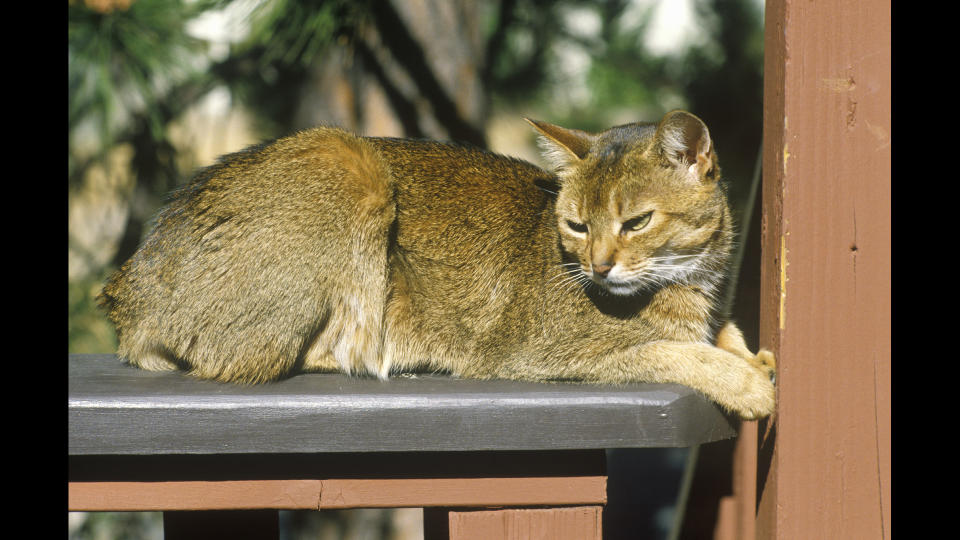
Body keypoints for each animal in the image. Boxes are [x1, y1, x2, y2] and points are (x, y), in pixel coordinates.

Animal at [97, 109, 776, 420]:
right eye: (577, 225)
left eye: (635, 222)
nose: (600, 268)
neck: (689, 281)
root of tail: (128, 288)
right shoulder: (537, 354)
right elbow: (668, 352)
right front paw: (745, 384)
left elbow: (721, 334)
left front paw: (752, 356)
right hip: (348, 160)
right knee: (245, 360)